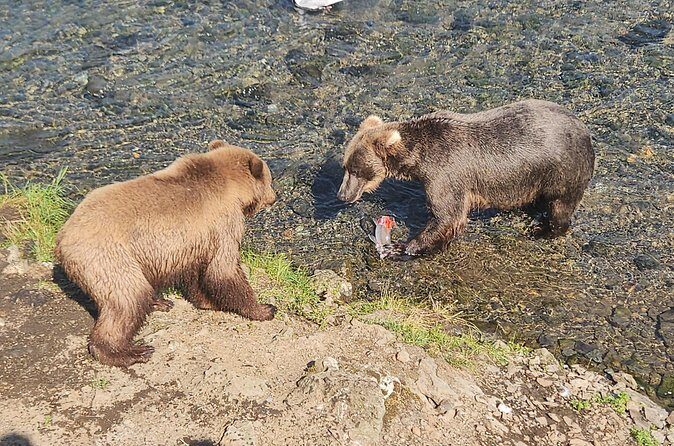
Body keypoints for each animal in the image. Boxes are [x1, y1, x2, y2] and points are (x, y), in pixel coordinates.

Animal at [55, 140, 277, 367]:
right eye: (270, 179)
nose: (274, 197)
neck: (232, 189)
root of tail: (62, 240)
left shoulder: (194, 241)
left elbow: (197, 273)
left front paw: (207, 301)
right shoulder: (224, 224)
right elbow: (224, 269)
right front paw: (264, 309)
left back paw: (160, 302)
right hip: (108, 258)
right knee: (127, 299)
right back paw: (129, 351)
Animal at [337, 99, 595, 257]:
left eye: (356, 171)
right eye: (346, 167)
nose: (342, 195)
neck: (419, 159)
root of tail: (586, 131)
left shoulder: (446, 174)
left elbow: (448, 216)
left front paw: (404, 246)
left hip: (562, 171)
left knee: (560, 206)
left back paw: (542, 230)